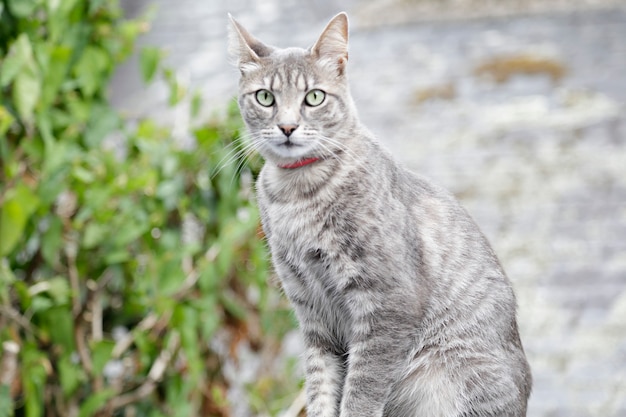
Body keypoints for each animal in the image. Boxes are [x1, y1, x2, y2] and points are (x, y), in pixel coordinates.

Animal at [227, 11, 528, 414]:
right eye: (265, 97)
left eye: (314, 97)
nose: (287, 126)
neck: (297, 196)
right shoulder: (314, 317)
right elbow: (321, 389)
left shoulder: (388, 304)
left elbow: (361, 391)